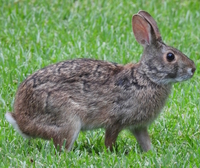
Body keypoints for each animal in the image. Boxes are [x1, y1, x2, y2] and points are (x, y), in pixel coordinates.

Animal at [4, 10, 195, 152]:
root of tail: (21, 121)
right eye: (170, 57)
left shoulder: (139, 126)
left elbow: (144, 141)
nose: (193, 69)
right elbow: (109, 139)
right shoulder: (116, 120)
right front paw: (112, 153)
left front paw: (150, 153)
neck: (148, 77)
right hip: (67, 120)